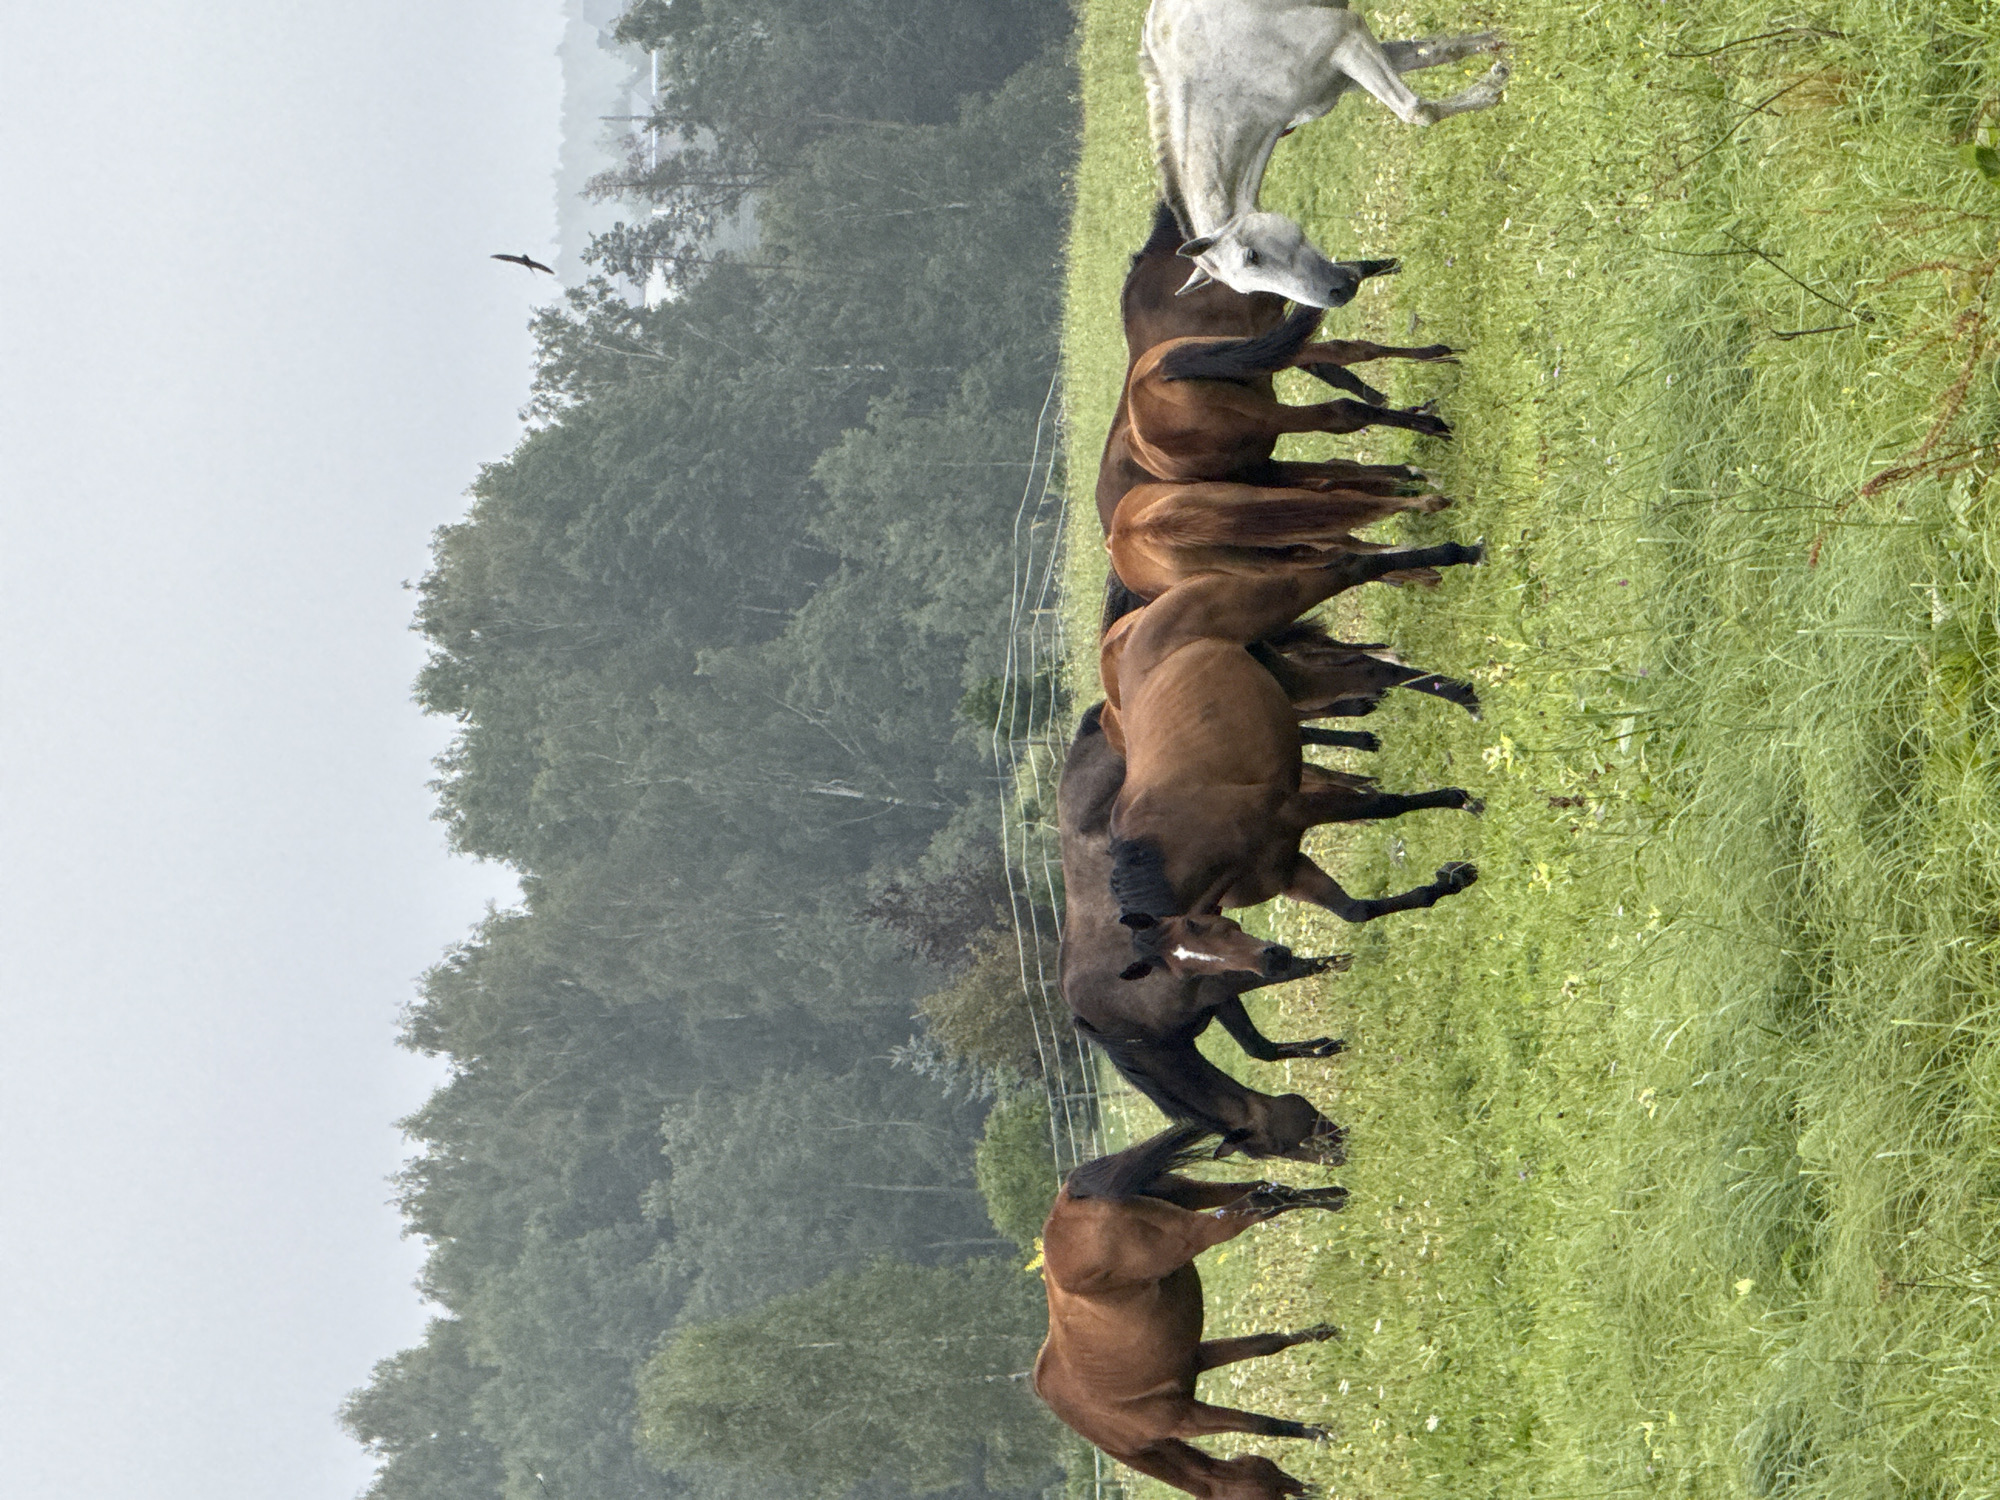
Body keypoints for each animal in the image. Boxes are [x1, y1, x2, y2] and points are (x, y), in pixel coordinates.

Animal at [1033, 1126, 1348, 1500]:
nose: (1310, 1491)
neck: (1112, 1425)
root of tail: (1066, 1205)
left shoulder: (1188, 1418)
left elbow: (1259, 1422)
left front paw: (1318, 1432)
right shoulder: (1197, 1364)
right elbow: (1265, 1348)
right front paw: (1323, 1335)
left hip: (1198, 1229)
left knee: (1261, 1201)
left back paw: (1336, 1195)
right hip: (1195, 1197)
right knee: (1268, 1190)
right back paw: (1338, 1195)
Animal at [1108, 557, 1485, 960]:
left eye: (1200, 926)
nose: (1274, 961)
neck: (1173, 850)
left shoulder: (1295, 809)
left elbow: (1387, 806)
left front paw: (1463, 801)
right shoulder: (1289, 870)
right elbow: (1355, 910)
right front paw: (1451, 879)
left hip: (1278, 603)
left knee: (1352, 567)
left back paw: (1464, 553)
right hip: (1288, 676)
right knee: (1373, 671)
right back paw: (1460, 695)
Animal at [1143, 0, 1509, 305]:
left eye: (1253, 257)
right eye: (1249, 288)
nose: (1339, 293)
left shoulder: (1347, 40)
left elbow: (1416, 110)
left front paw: (1490, 89)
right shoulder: (1345, 75)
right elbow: (1441, 50)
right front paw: (1499, 50)